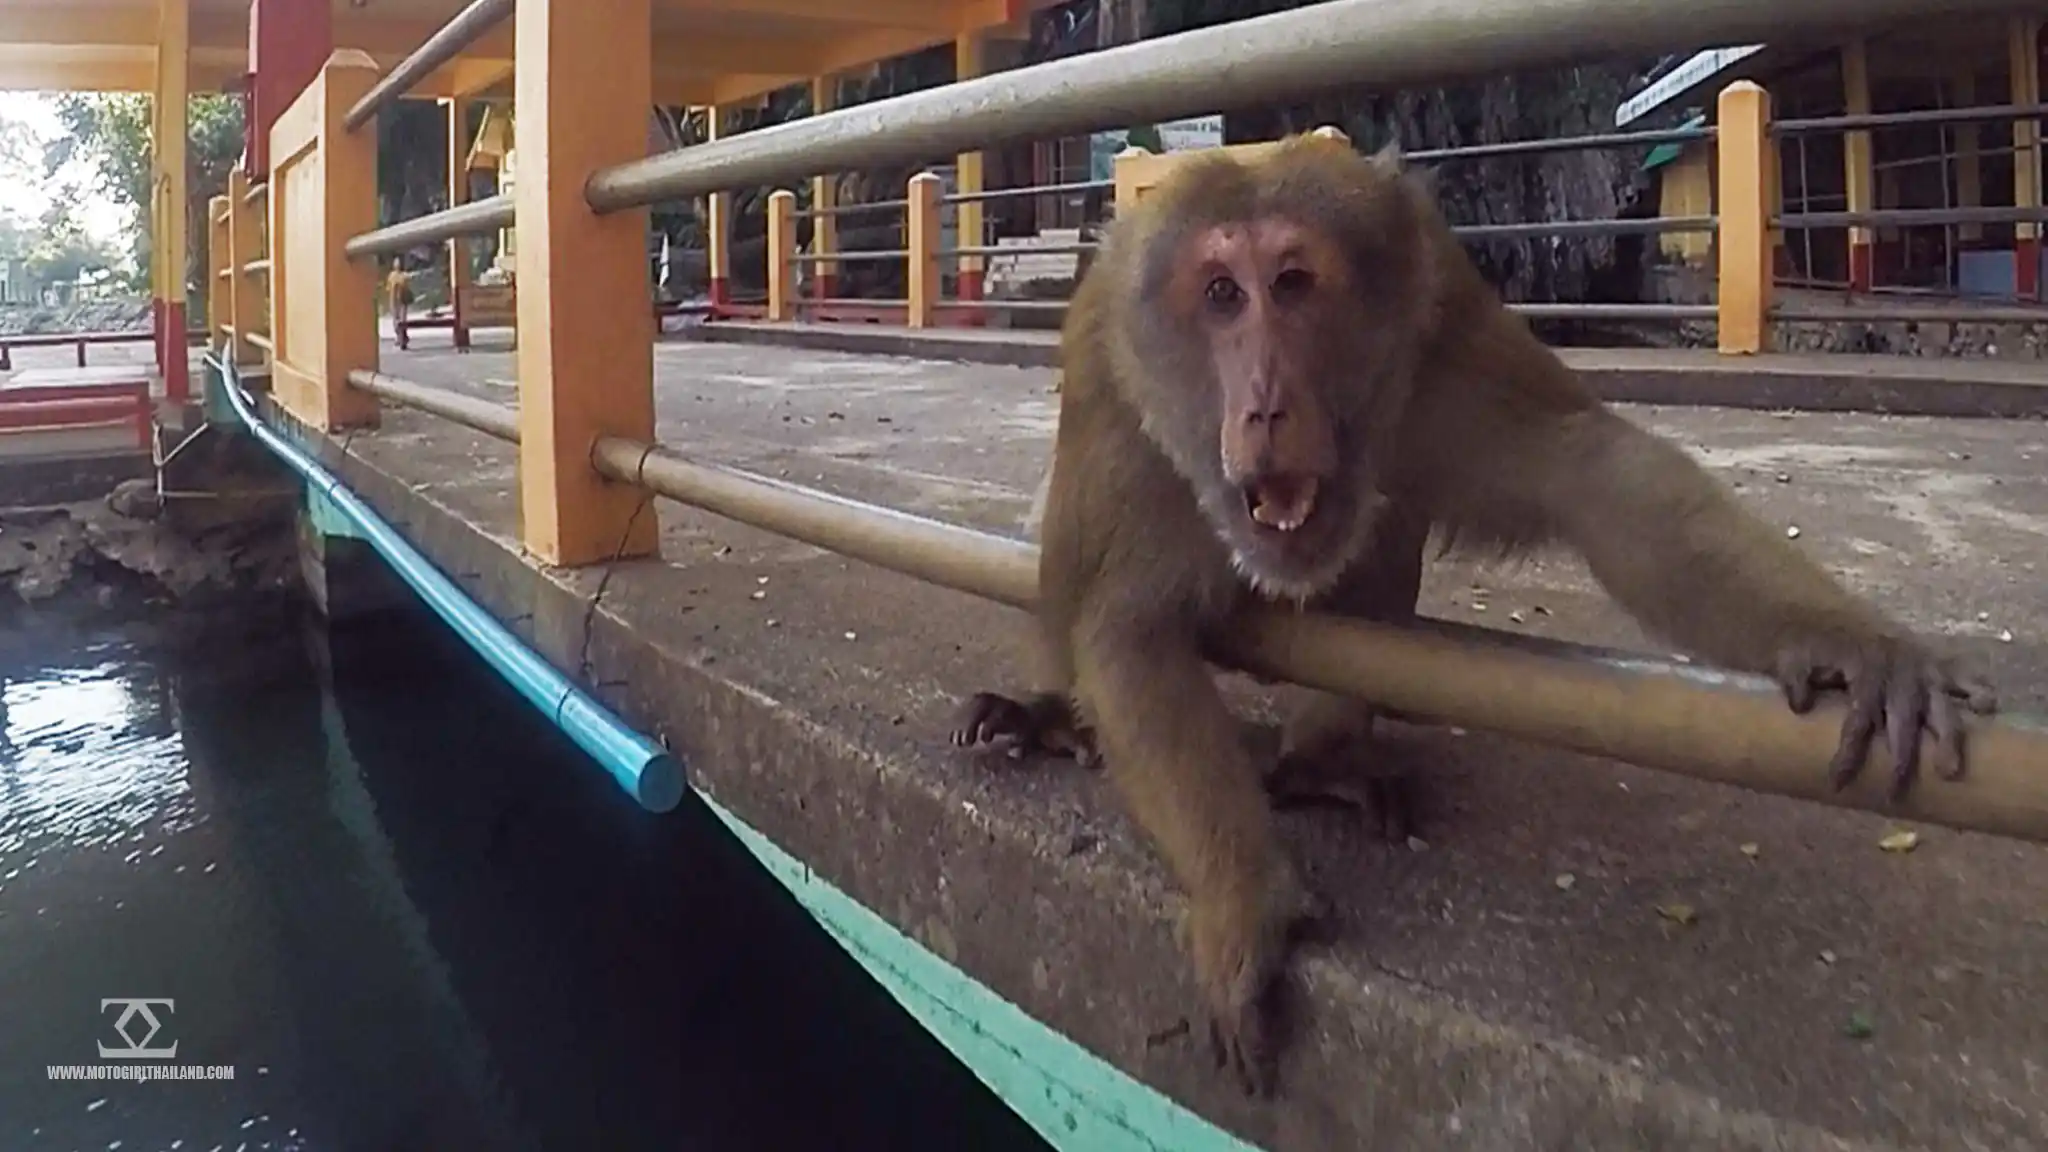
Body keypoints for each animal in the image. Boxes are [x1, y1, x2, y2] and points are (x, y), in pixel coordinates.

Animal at [951, 133, 1996, 1097]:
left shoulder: (1439, 329)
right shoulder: (1125, 398)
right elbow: (1125, 629)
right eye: (1219, 295)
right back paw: (1049, 713)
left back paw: (1322, 756)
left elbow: (1598, 473)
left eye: (1289, 284)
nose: (1264, 407)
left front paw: (1852, 643)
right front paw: (1246, 900)